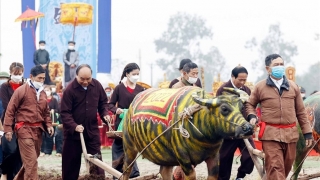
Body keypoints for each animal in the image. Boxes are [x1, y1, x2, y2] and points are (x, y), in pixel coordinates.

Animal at [122, 86, 252, 179]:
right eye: (224, 109)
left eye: (241, 108)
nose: (248, 128)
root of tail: (130, 107)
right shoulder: (184, 159)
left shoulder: (214, 156)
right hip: (129, 147)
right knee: (126, 170)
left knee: (165, 171)